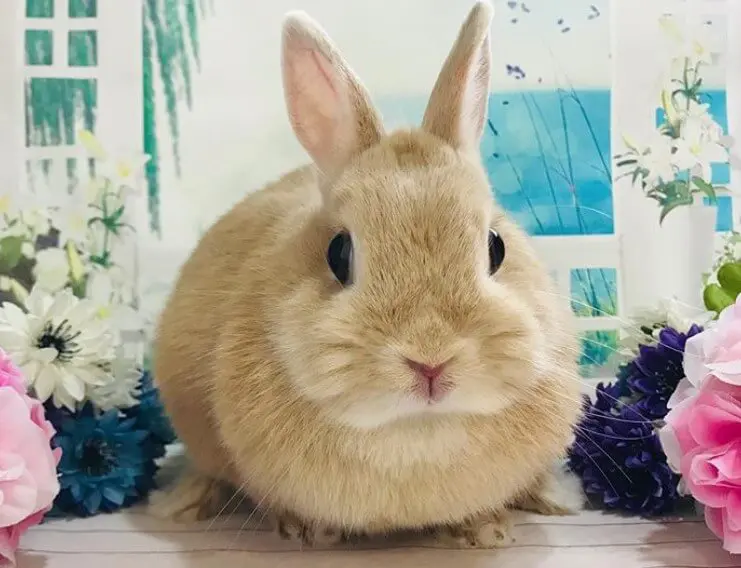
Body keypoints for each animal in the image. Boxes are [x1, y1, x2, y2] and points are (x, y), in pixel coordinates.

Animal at [150, 0, 584, 549]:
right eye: (338, 253)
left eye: (496, 247)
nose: (430, 361)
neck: (415, 436)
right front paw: (309, 530)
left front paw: (485, 530)